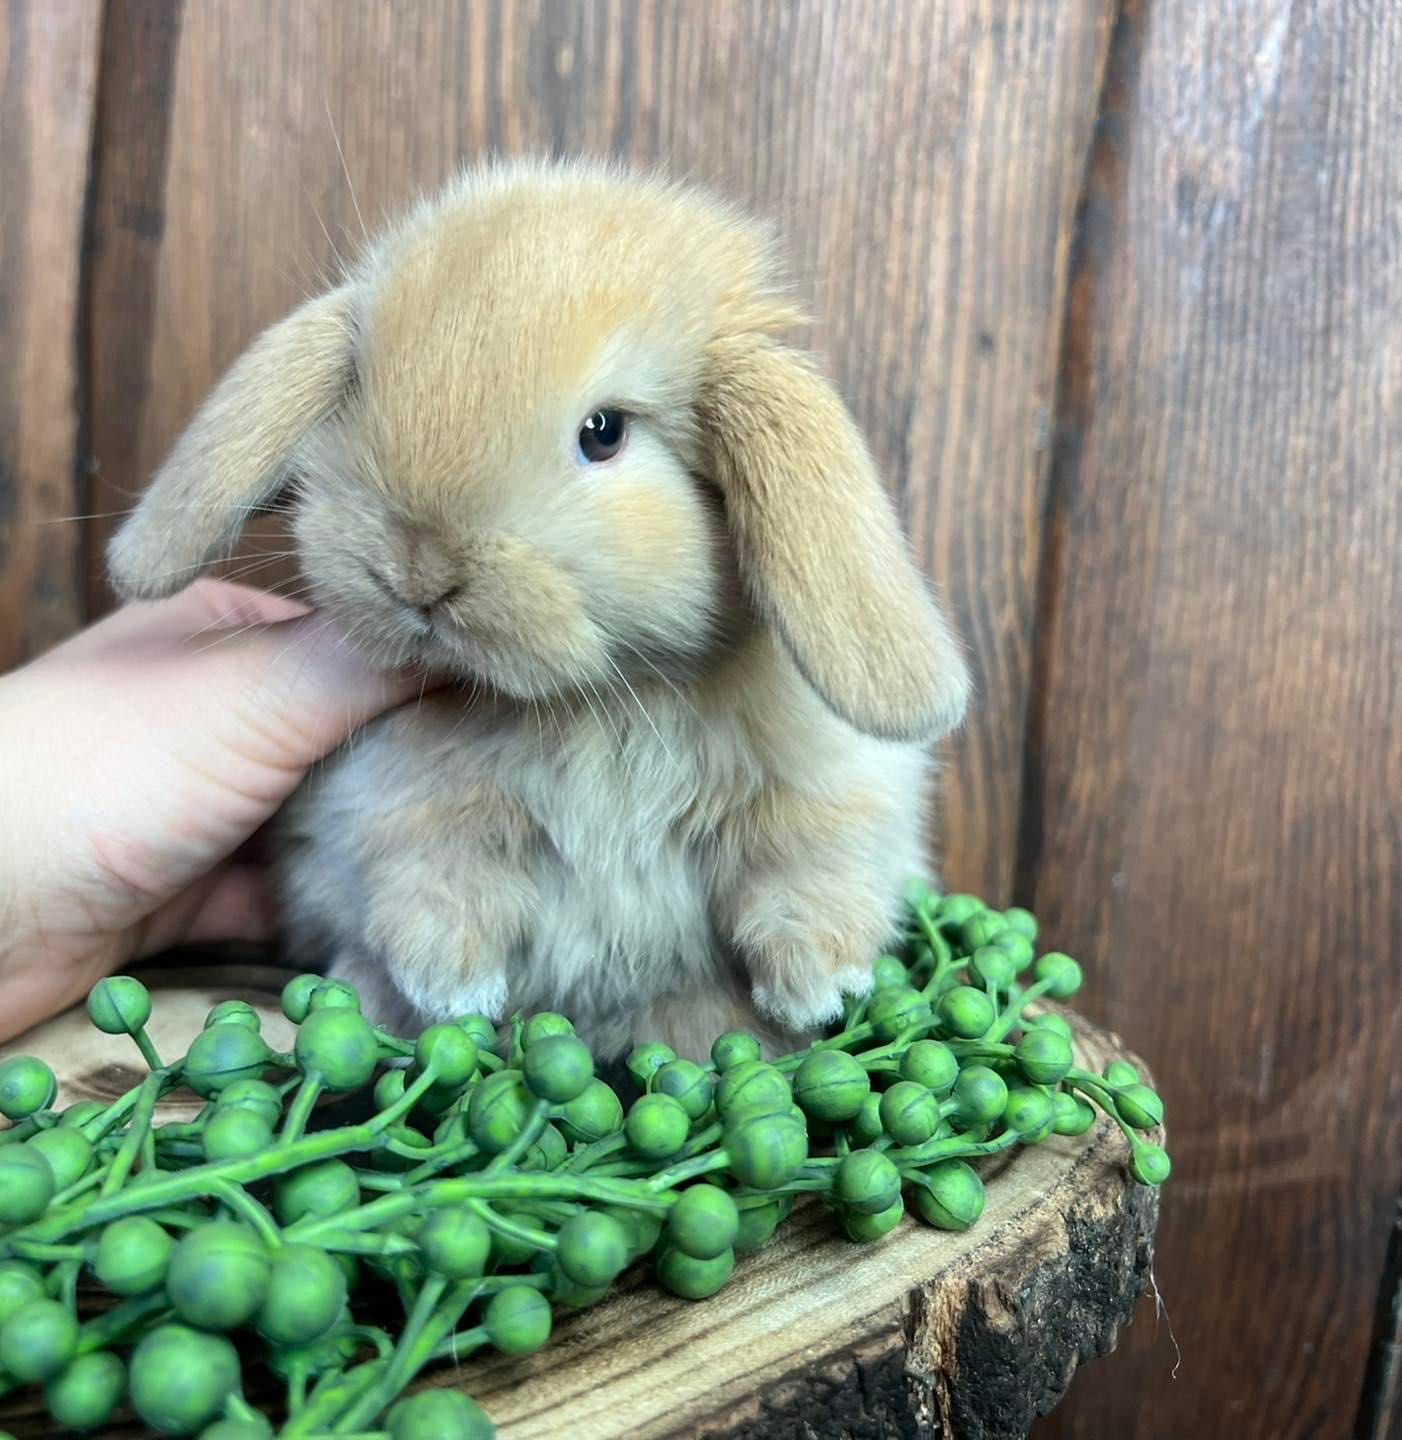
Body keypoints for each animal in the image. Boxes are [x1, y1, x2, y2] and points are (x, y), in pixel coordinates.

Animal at [109, 160, 973, 1059]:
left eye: (604, 431)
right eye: (360, 392)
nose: (421, 570)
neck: (597, 704)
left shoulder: (824, 799)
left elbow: (807, 872)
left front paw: (818, 989)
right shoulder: (401, 805)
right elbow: (434, 881)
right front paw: (452, 988)